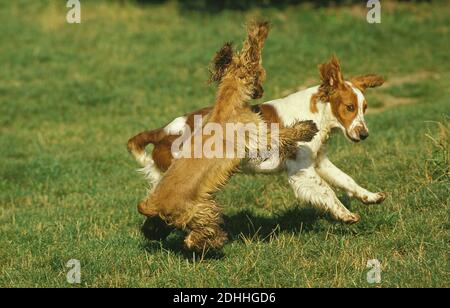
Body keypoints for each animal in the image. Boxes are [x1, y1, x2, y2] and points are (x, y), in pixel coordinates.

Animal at [127, 55, 386, 224]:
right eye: (349, 107)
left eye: (365, 107)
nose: (364, 134)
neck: (315, 113)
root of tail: (162, 132)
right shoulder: (300, 169)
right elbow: (327, 190)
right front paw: (345, 214)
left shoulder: (319, 162)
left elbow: (347, 180)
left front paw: (370, 196)